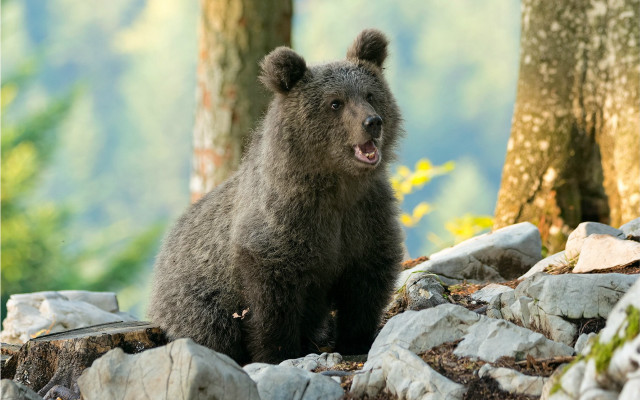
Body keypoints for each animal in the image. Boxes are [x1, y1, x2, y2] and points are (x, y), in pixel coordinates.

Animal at [148, 29, 404, 364]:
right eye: (335, 103)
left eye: (370, 95)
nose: (372, 122)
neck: (336, 187)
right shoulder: (280, 230)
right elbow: (273, 303)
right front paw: (278, 352)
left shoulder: (366, 217)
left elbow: (366, 282)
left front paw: (356, 340)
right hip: (195, 299)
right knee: (212, 328)